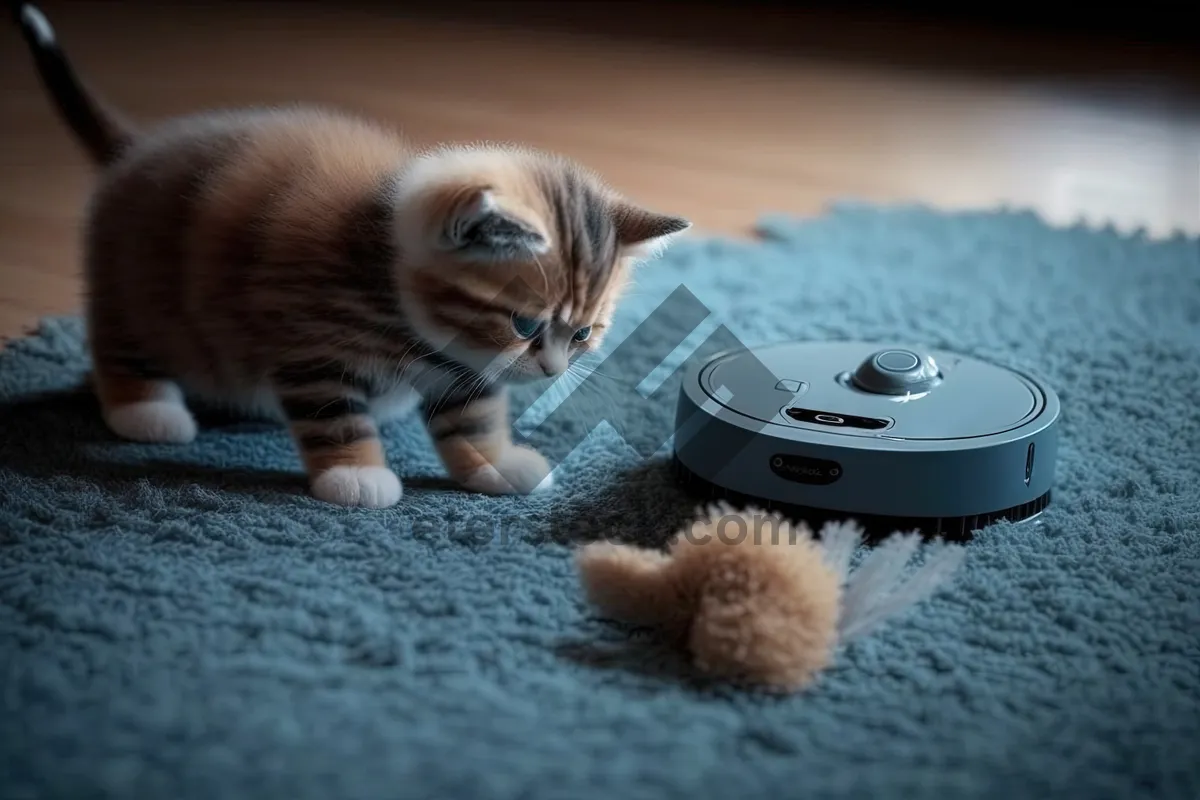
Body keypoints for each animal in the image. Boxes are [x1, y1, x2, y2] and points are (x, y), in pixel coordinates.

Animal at [14, 4, 691, 506]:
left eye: (582, 335)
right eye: (525, 324)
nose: (551, 371)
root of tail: (137, 147)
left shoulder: (462, 366)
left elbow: (472, 417)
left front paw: (494, 463)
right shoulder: (305, 341)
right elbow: (332, 411)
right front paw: (354, 474)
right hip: (138, 284)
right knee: (117, 340)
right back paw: (147, 409)